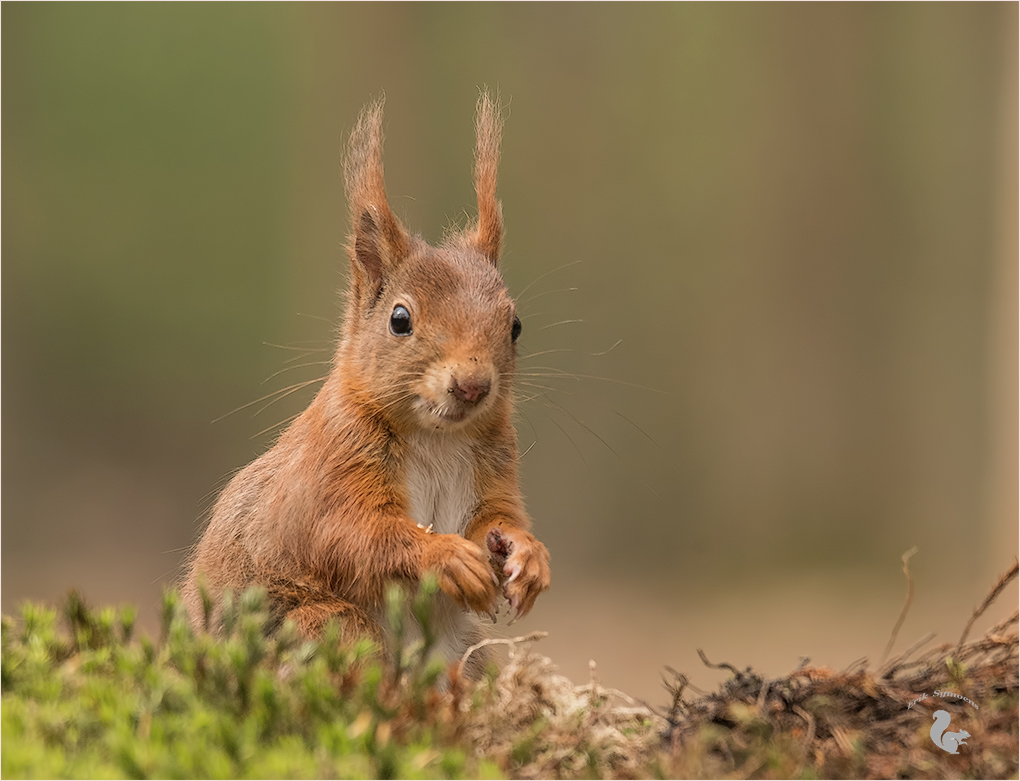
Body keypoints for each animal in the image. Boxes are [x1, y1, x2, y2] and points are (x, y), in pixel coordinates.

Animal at [183, 93, 550, 672]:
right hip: (327, 626)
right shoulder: (330, 473)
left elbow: (499, 516)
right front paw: (447, 556)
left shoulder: (493, 471)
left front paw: (528, 555)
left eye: (515, 326)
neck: (438, 439)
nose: (472, 386)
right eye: (400, 320)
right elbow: (356, 537)